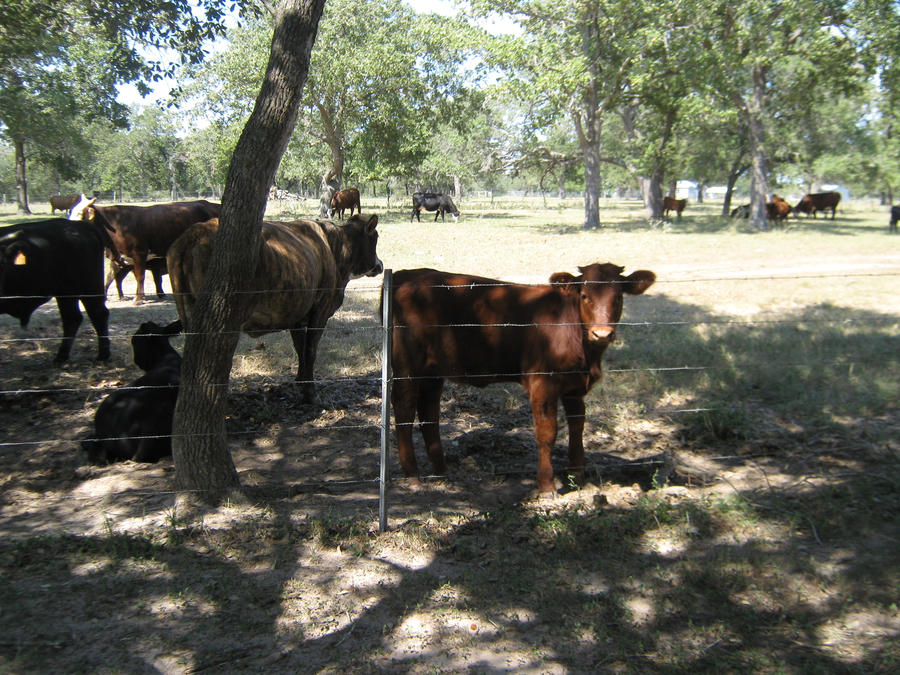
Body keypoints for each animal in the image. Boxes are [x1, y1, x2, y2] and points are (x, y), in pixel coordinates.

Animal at [68, 193, 220, 304]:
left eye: (79, 215)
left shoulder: (139, 253)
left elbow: (140, 276)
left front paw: (139, 299)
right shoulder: (125, 258)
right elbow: (131, 276)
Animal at [170, 214, 384, 404]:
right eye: (374, 238)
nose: (380, 265)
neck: (335, 247)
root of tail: (196, 232)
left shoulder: (297, 315)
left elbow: (300, 348)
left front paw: (300, 382)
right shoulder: (320, 311)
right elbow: (310, 350)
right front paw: (311, 394)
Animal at [390, 264, 656, 496]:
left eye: (618, 297)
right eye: (584, 295)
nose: (601, 333)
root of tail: (412, 274)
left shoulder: (574, 387)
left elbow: (577, 427)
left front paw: (578, 476)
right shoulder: (542, 383)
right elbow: (547, 433)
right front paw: (547, 486)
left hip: (433, 372)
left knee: (429, 412)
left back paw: (441, 470)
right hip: (407, 365)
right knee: (404, 410)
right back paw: (412, 475)